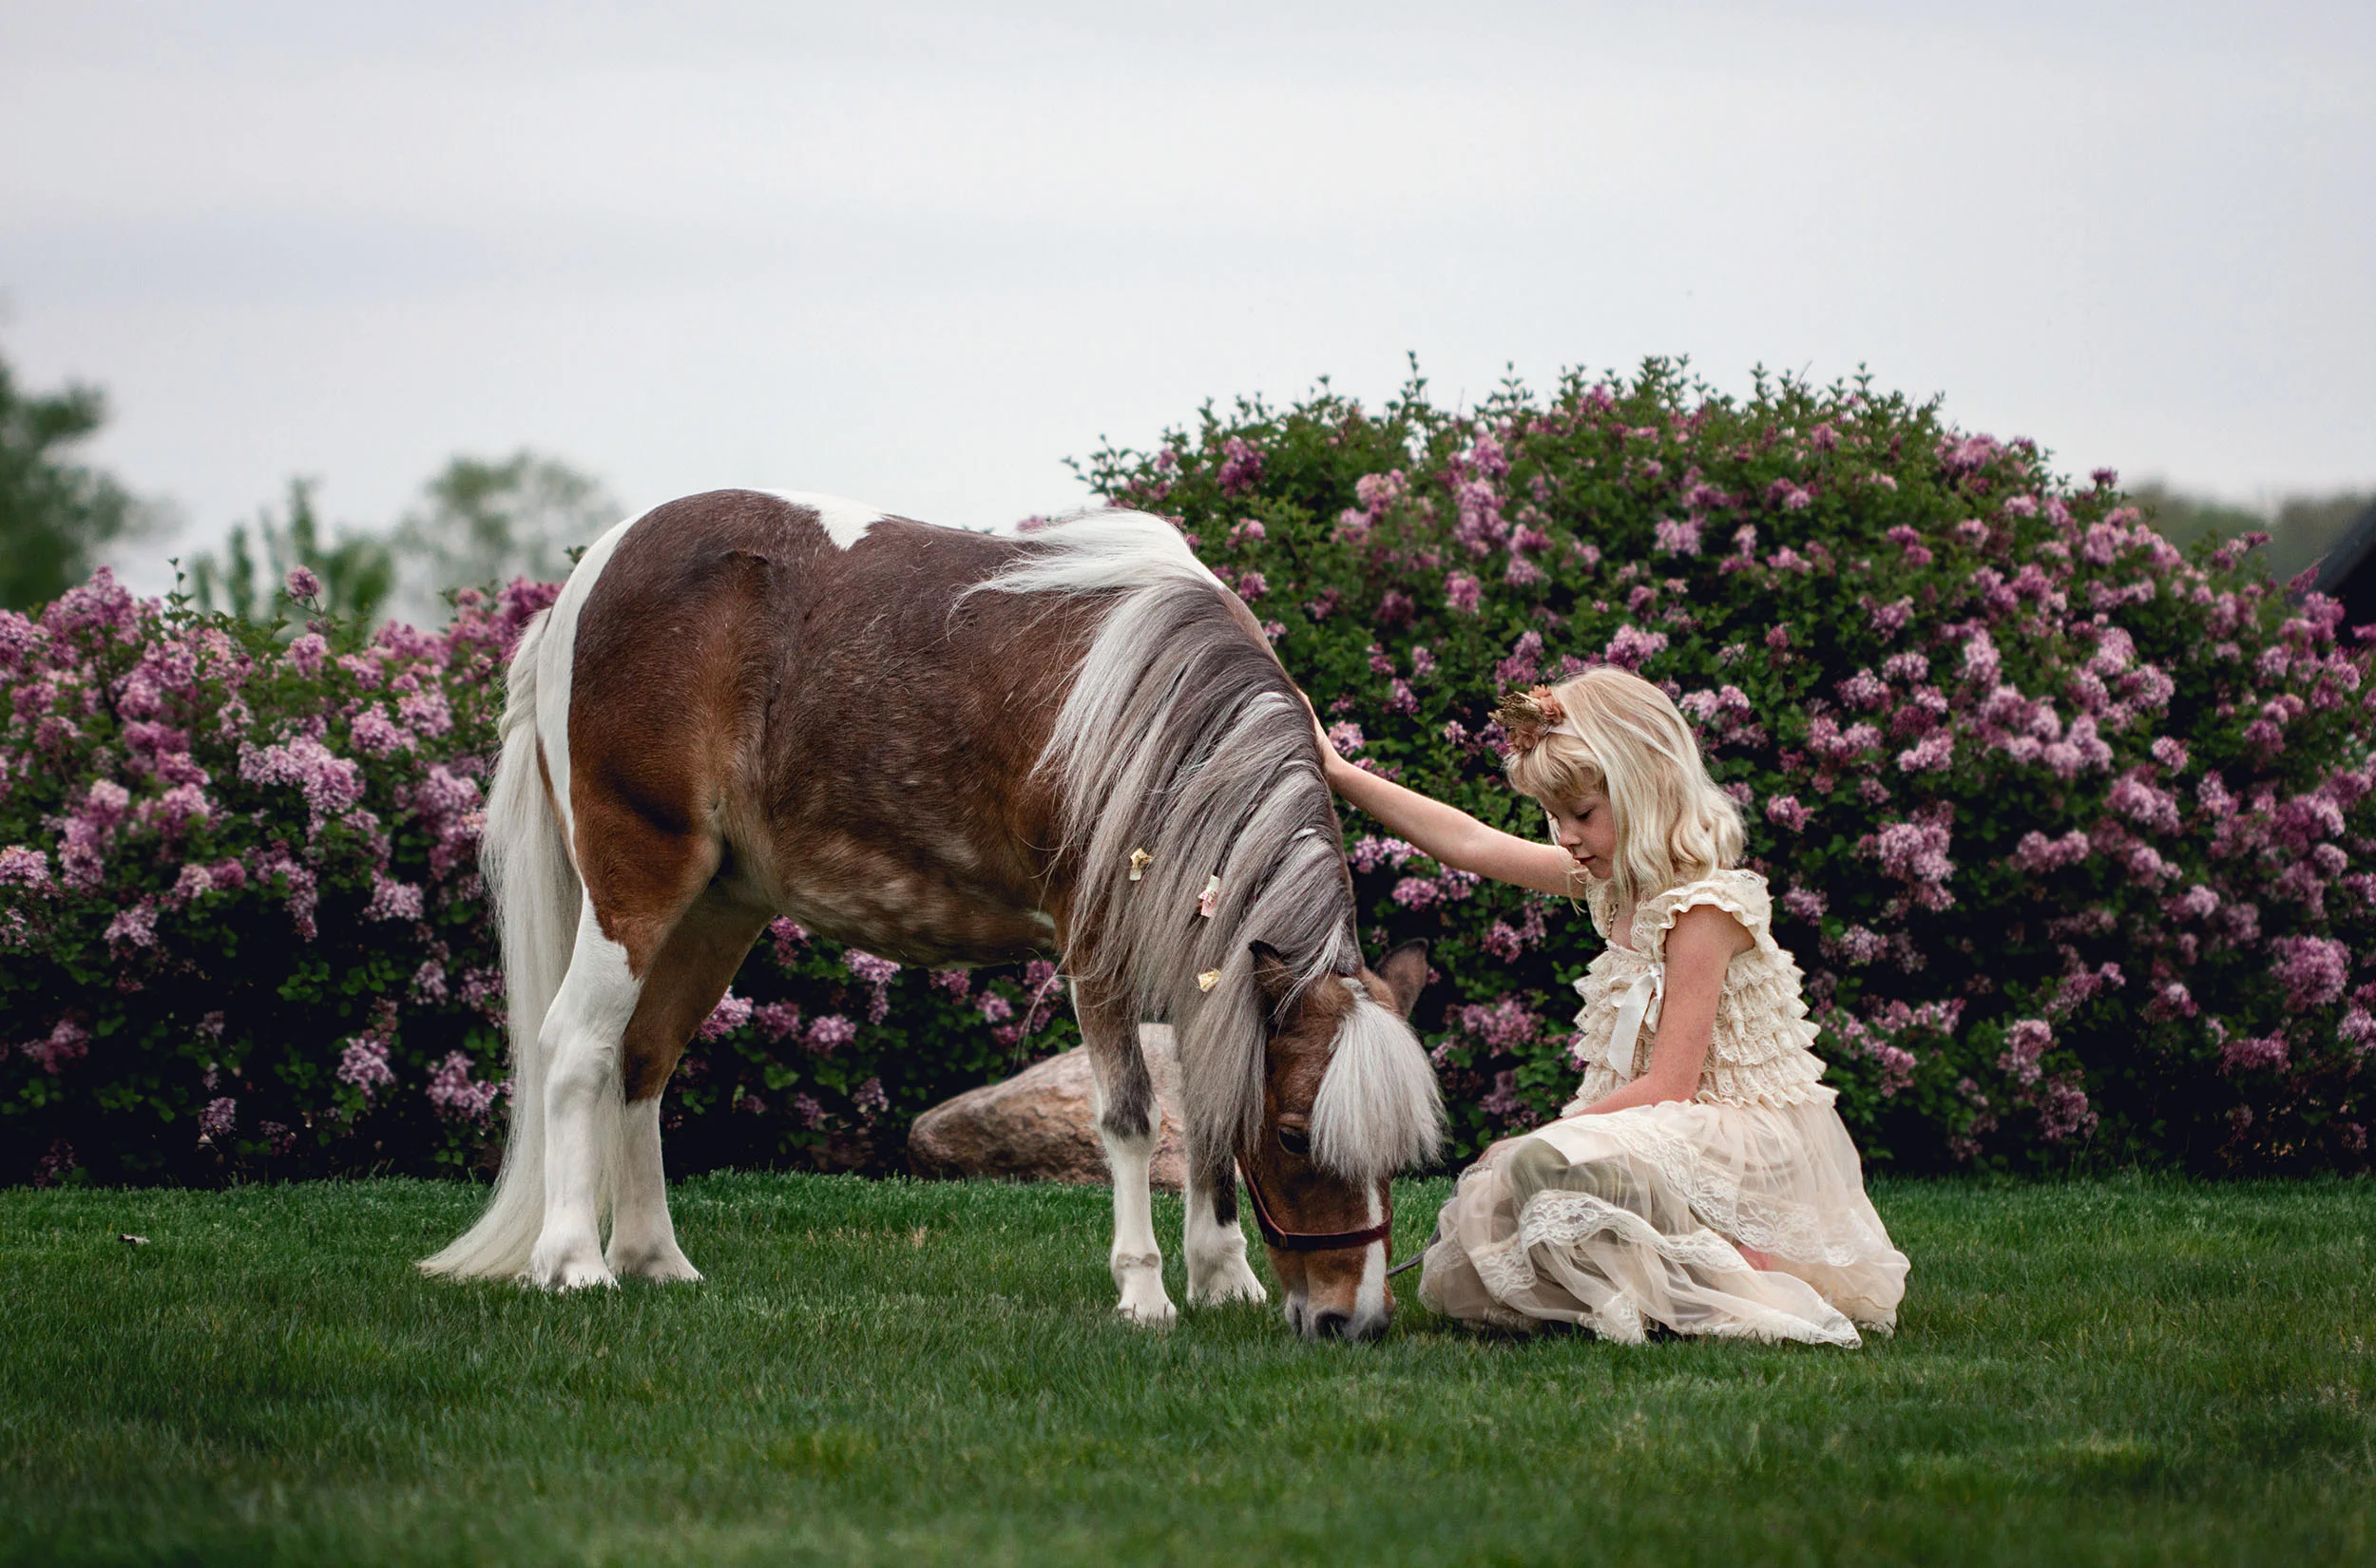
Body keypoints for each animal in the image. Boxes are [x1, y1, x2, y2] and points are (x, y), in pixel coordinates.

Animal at [418, 490, 1444, 1339]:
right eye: (1295, 1135)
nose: (1353, 1321)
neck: (1161, 715)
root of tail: (580, 590)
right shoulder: (1097, 951)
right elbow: (1131, 1117)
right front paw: (1146, 1292)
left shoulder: (1202, 954)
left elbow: (1207, 1109)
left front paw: (1223, 1278)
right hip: (636, 884)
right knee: (578, 1051)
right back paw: (574, 1265)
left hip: (716, 909)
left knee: (643, 1060)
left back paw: (654, 1260)